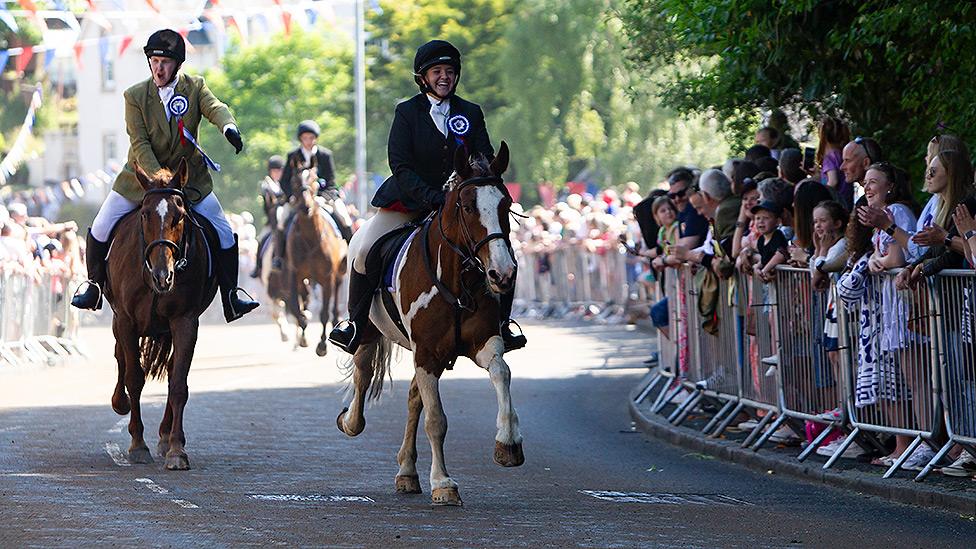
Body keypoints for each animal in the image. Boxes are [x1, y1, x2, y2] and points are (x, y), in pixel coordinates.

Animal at [104, 157, 216, 466]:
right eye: (144, 215)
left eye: (180, 216)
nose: (162, 276)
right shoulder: (126, 320)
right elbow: (134, 377)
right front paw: (137, 444)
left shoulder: (185, 321)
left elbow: (178, 383)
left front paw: (176, 449)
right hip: (119, 321)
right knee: (121, 358)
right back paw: (120, 403)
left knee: (170, 370)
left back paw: (166, 437)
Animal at [284, 158, 348, 356]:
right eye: (294, 182)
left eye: (315, 180)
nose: (305, 207)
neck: (310, 238)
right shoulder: (294, 275)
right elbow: (296, 308)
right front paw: (303, 332)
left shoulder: (327, 277)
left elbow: (324, 312)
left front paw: (322, 345)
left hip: (339, 273)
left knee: (336, 294)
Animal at [336, 142, 524, 506]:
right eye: (468, 206)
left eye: (506, 204)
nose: (503, 274)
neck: (456, 279)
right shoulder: (426, 353)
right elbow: (436, 419)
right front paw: (443, 483)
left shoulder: (482, 343)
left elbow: (502, 373)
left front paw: (508, 443)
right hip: (370, 331)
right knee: (363, 373)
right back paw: (350, 422)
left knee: (413, 398)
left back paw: (407, 472)